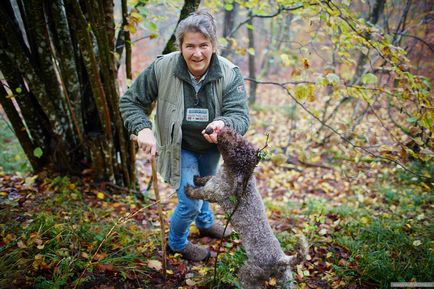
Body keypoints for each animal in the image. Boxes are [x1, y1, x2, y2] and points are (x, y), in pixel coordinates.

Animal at [185, 127, 306, 286]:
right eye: (239, 139)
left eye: (237, 149)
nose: (224, 129)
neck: (234, 174)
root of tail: (282, 260)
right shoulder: (214, 179)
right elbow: (206, 179)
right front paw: (198, 179)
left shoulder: (213, 192)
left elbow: (198, 192)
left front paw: (188, 190)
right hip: (285, 279)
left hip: (249, 273)